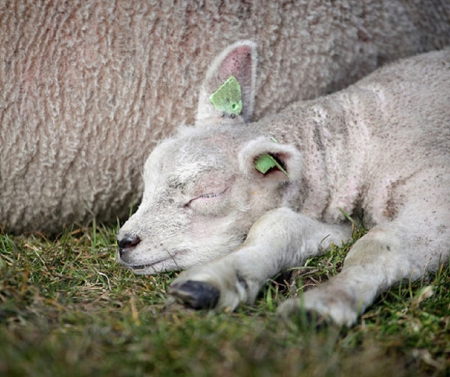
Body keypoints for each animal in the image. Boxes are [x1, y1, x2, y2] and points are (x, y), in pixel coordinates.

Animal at [117, 40, 450, 324]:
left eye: (207, 195)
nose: (124, 242)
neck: (357, 138)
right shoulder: (341, 221)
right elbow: (278, 226)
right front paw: (213, 281)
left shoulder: (436, 195)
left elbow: (380, 244)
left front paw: (328, 301)